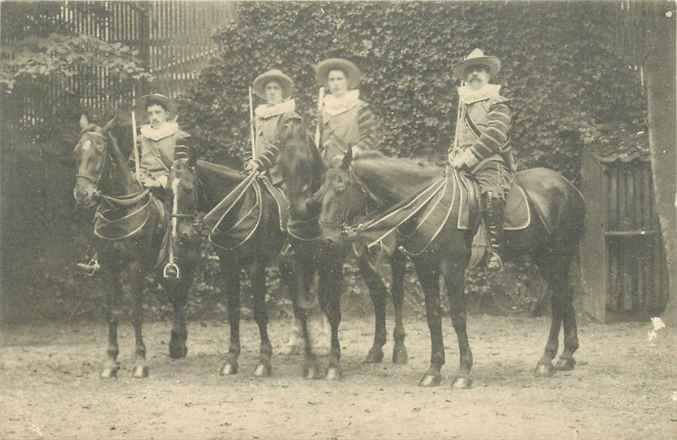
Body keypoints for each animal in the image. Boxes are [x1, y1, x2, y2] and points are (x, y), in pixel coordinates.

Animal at [74, 113, 202, 378]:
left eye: (100, 151)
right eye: (77, 151)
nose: (83, 195)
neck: (119, 210)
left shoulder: (135, 266)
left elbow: (135, 313)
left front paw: (140, 362)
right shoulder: (109, 267)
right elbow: (112, 313)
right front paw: (111, 362)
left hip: (187, 262)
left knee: (181, 297)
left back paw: (179, 343)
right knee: (174, 295)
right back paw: (176, 343)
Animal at [316, 149, 588, 388]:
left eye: (341, 187)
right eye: (320, 190)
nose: (327, 238)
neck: (425, 202)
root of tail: (569, 186)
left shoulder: (453, 268)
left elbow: (458, 317)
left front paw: (463, 372)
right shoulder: (426, 268)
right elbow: (433, 316)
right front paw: (433, 370)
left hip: (556, 256)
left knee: (558, 300)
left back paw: (547, 359)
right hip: (545, 259)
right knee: (564, 296)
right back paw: (566, 356)